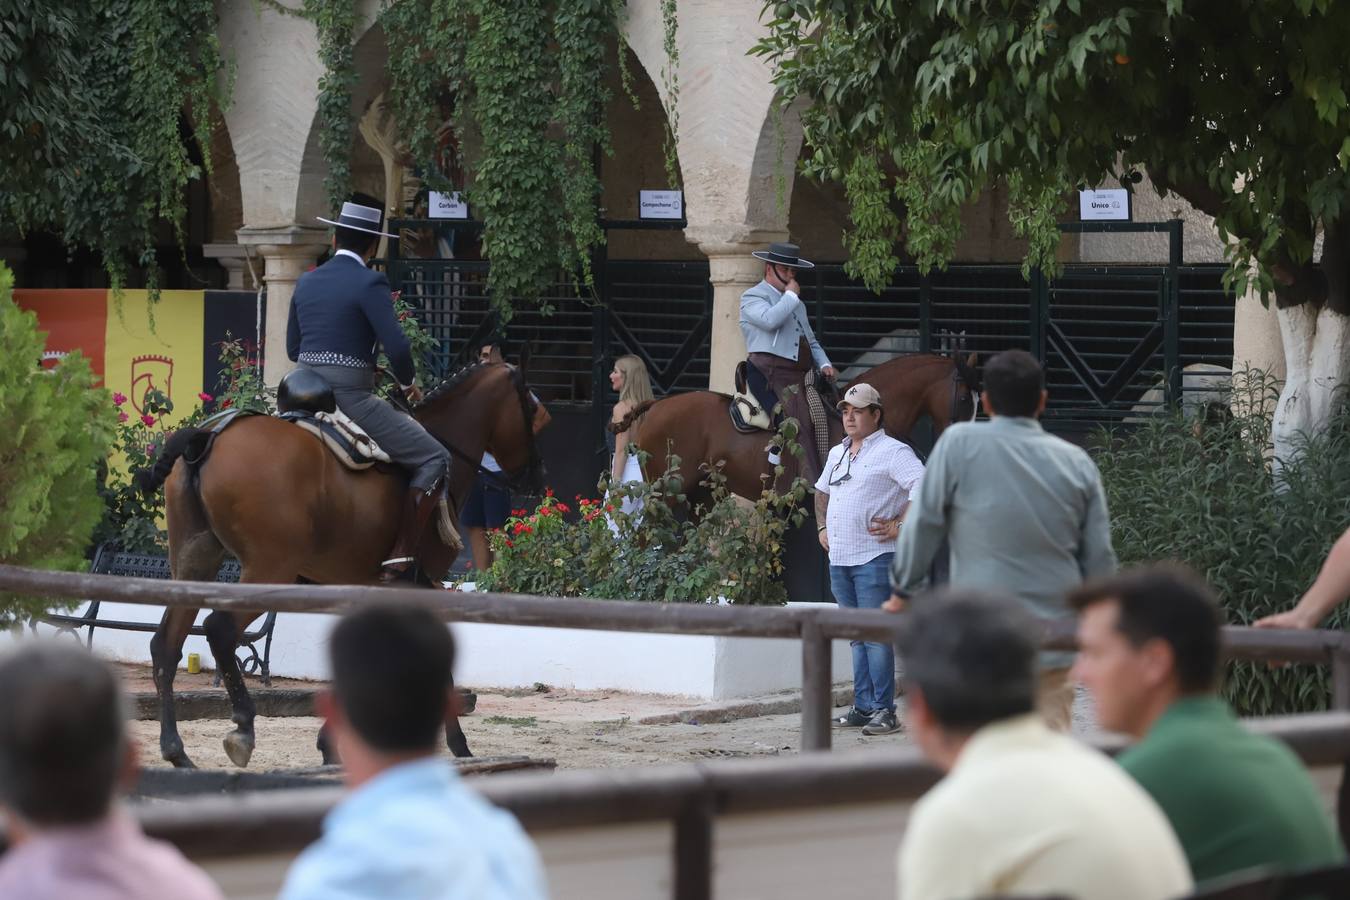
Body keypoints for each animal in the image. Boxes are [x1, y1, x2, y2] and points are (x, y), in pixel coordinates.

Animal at [134, 361, 540, 771]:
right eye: (533, 410)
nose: (531, 478)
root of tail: (209, 435)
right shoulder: (418, 590)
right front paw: (460, 746)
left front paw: (330, 746)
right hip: (270, 569)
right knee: (219, 629)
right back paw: (243, 728)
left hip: (195, 564)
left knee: (166, 644)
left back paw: (177, 751)